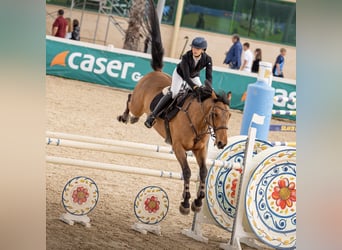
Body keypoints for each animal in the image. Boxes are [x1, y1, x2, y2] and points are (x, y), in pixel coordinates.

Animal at [116, 0, 231, 215]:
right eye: (215, 113)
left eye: (229, 116)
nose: (221, 143)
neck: (197, 123)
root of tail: (156, 72)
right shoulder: (178, 147)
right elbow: (186, 172)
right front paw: (186, 203)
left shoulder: (200, 150)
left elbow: (203, 172)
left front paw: (198, 202)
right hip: (138, 103)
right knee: (129, 99)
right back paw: (125, 117)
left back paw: (134, 119)